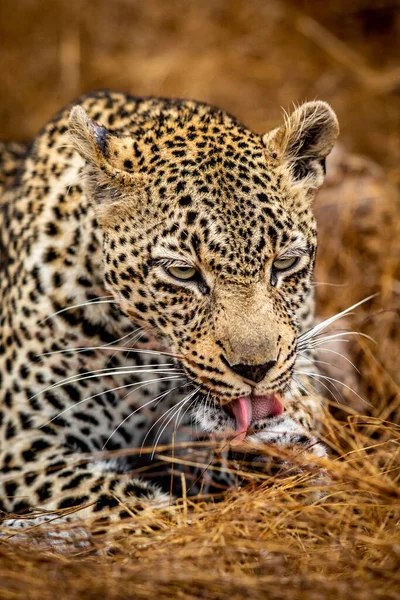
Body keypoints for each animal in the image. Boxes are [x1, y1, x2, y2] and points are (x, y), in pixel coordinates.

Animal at [0, 90, 338, 536]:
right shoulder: (22, 443)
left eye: (284, 263)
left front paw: (285, 451)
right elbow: (122, 504)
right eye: (183, 272)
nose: (255, 370)